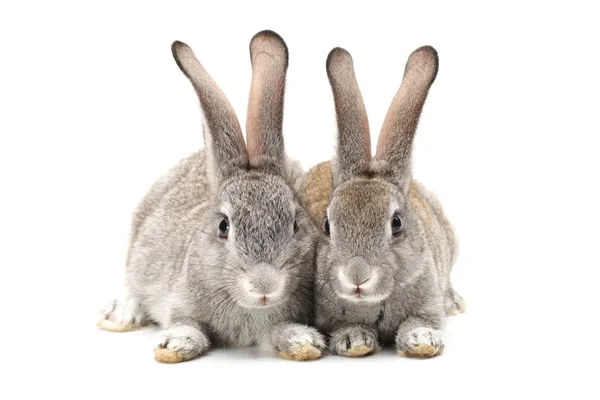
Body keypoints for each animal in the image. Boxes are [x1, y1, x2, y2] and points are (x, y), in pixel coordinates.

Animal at [98, 31, 326, 362]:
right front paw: (177, 344)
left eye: (296, 224)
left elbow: (280, 330)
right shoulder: (180, 303)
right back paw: (122, 314)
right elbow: (187, 324)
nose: (264, 285)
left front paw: (302, 341)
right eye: (223, 226)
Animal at [302, 45, 466, 358]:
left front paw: (422, 341)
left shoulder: (426, 305)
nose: (357, 275)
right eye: (327, 226)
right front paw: (355, 342)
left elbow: (419, 322)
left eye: (397, 223)